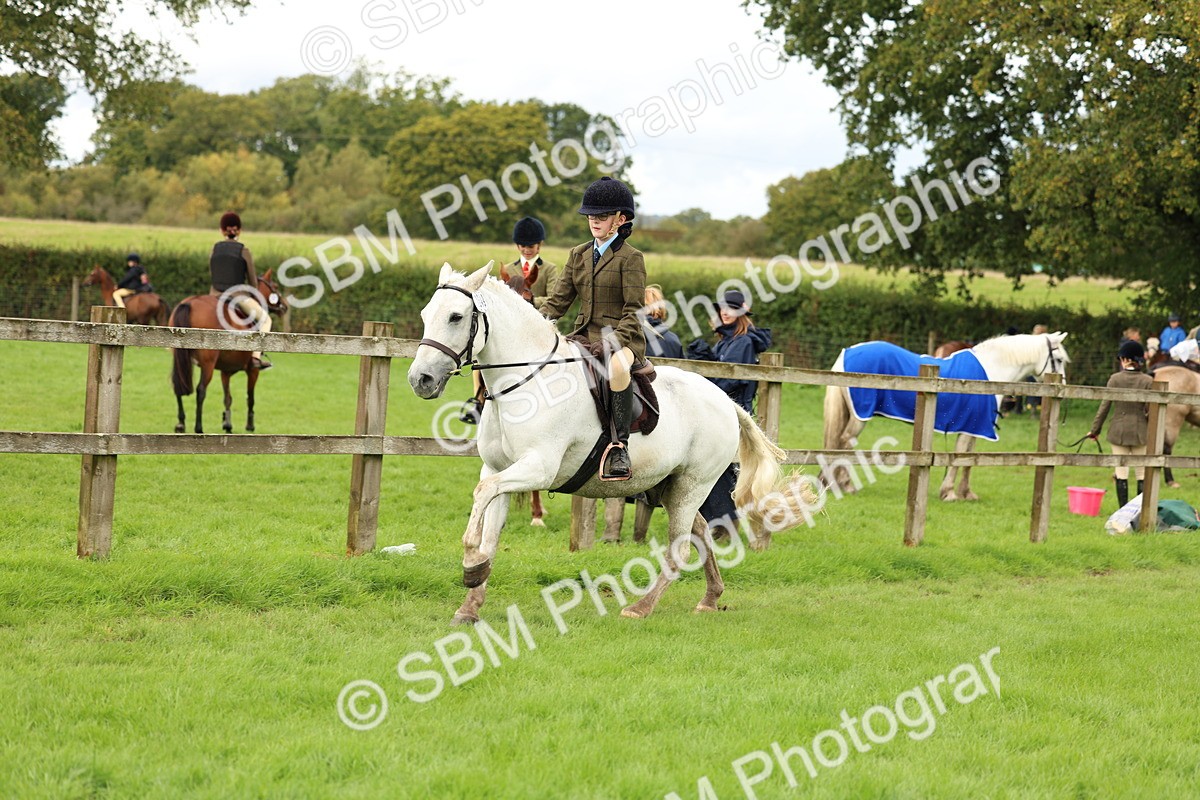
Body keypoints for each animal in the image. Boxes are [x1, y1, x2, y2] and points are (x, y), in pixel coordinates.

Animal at [169, 272, 287, 434]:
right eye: (275, 286)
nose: (284, 307)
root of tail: (189, 303)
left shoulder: (225, 371)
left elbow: (227, 398)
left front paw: (227, 425)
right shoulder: (252, 371)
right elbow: (250, 397)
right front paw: (250, 426)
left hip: (180, 360)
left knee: (178, 385)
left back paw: (181, 424)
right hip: (208, 364)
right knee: (201, 390)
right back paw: (199, 428)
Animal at [408, 262, 817, 624]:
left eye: (456, 317)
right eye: (426, 313)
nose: (420, 379)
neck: (526, 382)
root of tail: (726, 401)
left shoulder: (537, 468)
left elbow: (482, 495)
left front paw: (469, 563)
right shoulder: (499, 469)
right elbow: (490, 527)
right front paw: (470, 601)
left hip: (693, 483)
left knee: (681, 546)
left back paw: (641, 607)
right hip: (669, 485)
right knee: (700, 532)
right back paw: (711, 597)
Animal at [823, 333, 1070, 501]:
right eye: (1058, 359)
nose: (1064, 387)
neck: (991, 370)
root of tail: (846, 353)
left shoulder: (975, 427)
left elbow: (970, 459)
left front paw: (966, 493)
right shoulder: (973, 426)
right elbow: (961, 456)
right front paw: (949, 493)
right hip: (860, 416)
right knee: (845, 443)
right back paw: (846, 485)